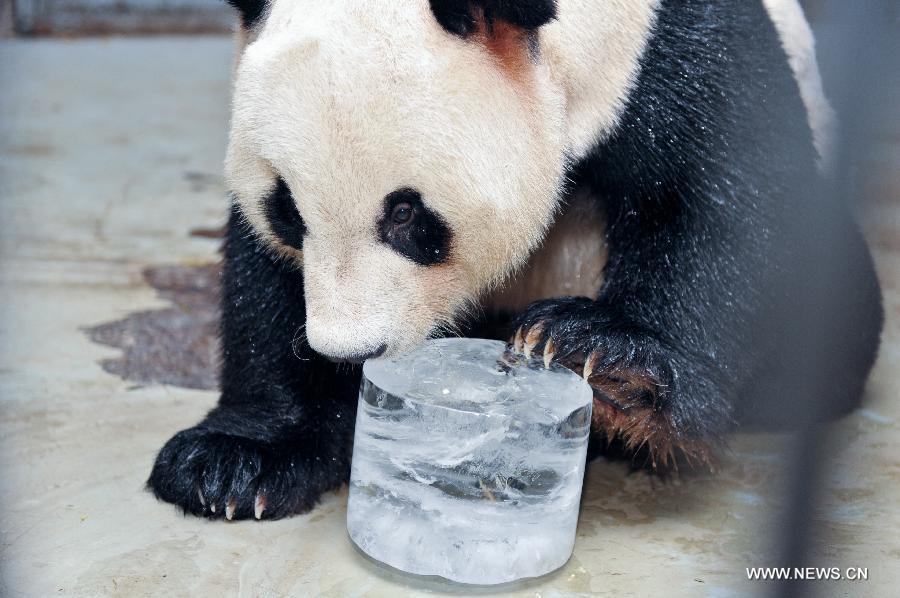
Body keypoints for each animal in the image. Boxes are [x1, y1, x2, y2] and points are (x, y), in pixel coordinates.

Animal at [148, 0, 880, 524]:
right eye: (287, 212)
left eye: (407, 215)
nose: (350, 354)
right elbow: (262, 279)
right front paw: (239, 461)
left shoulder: (668, 47)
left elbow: (718, 196)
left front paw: (611, 362)